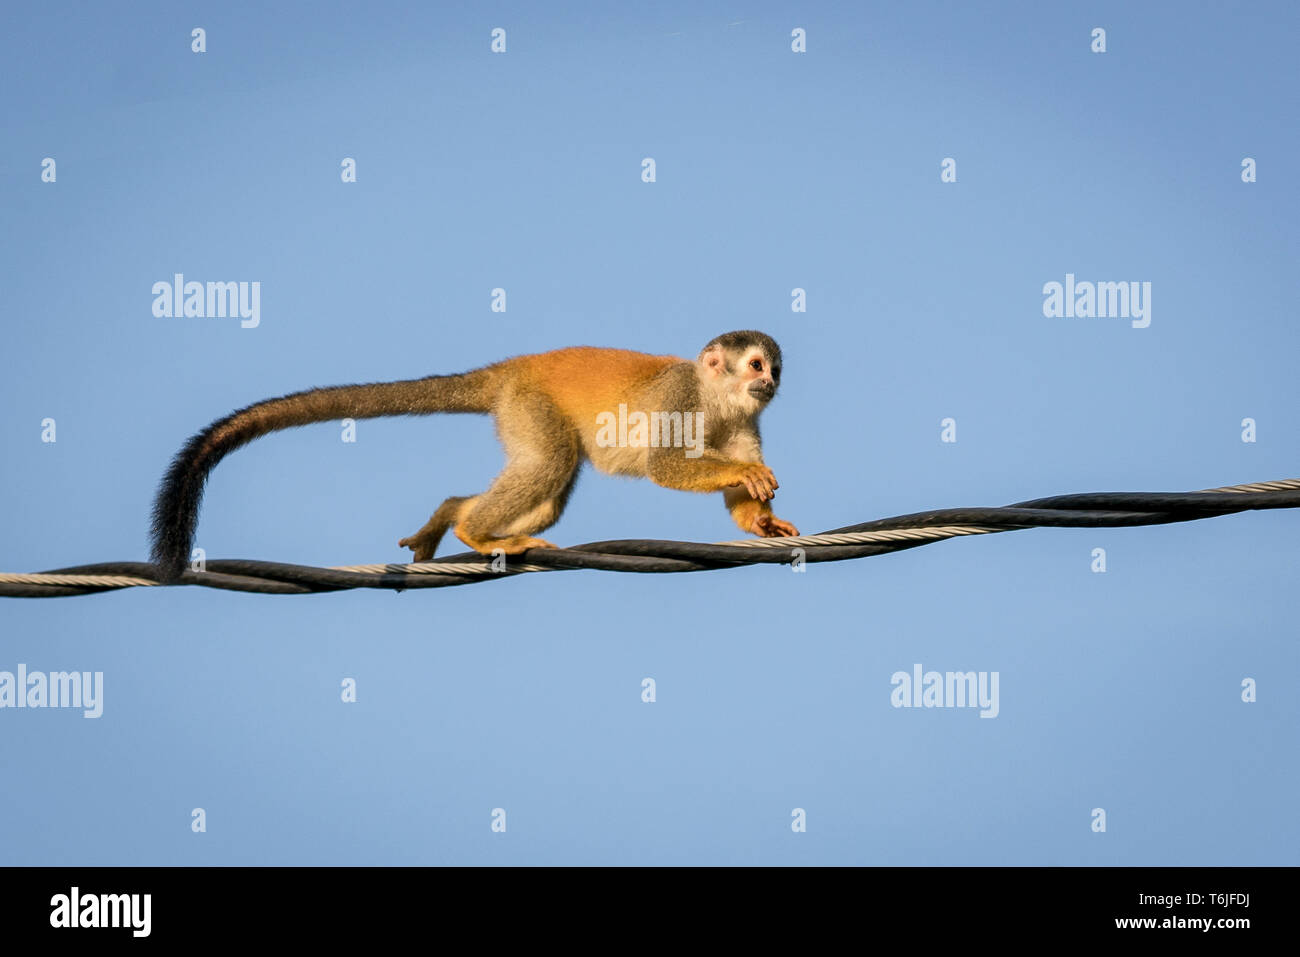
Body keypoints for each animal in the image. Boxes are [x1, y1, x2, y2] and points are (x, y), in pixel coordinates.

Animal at [156, 332, 795, 579]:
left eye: (774, 369)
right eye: (755, 364)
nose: (771, 382)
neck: (716, 397)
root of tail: (508, 370)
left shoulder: (747, 416)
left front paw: (762, 521)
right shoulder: (680, 398)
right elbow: (665, 466)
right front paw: (747, 473)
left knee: (549, 485)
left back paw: (450, 515)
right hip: (529, 405)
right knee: (550, 463)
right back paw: (476, 533)